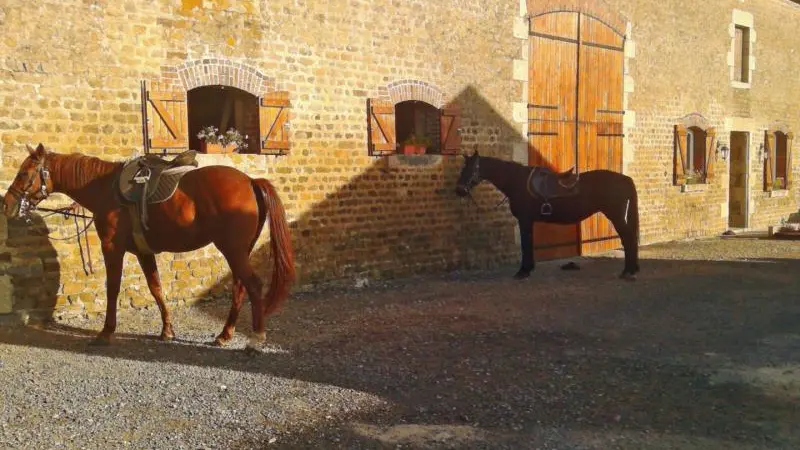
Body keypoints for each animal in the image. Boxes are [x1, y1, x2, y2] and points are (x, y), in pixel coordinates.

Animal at [2, 143, 295, 352]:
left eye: (24, 173)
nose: (7, 204)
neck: (105, 189)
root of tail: (250, 181)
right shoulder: (144, 252)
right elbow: (156, 289)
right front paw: (167, 331)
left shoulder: (112, 248)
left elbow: (113, 288)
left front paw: (106, 332)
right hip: (239, 251)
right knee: (239, 287)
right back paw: (224, 335)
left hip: (232, 250)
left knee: (253, 286)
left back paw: (255, 340)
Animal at [455, 150, 639, 280]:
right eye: (463, 168)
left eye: (473, 168)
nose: (459, 190)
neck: (516, 181)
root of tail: (625, 179)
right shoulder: (527, 221)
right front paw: (528, 269)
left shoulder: (525, 220)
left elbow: (525, 244)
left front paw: (523, 271)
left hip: (615, 215)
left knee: (628, 238)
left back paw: (628, 271)